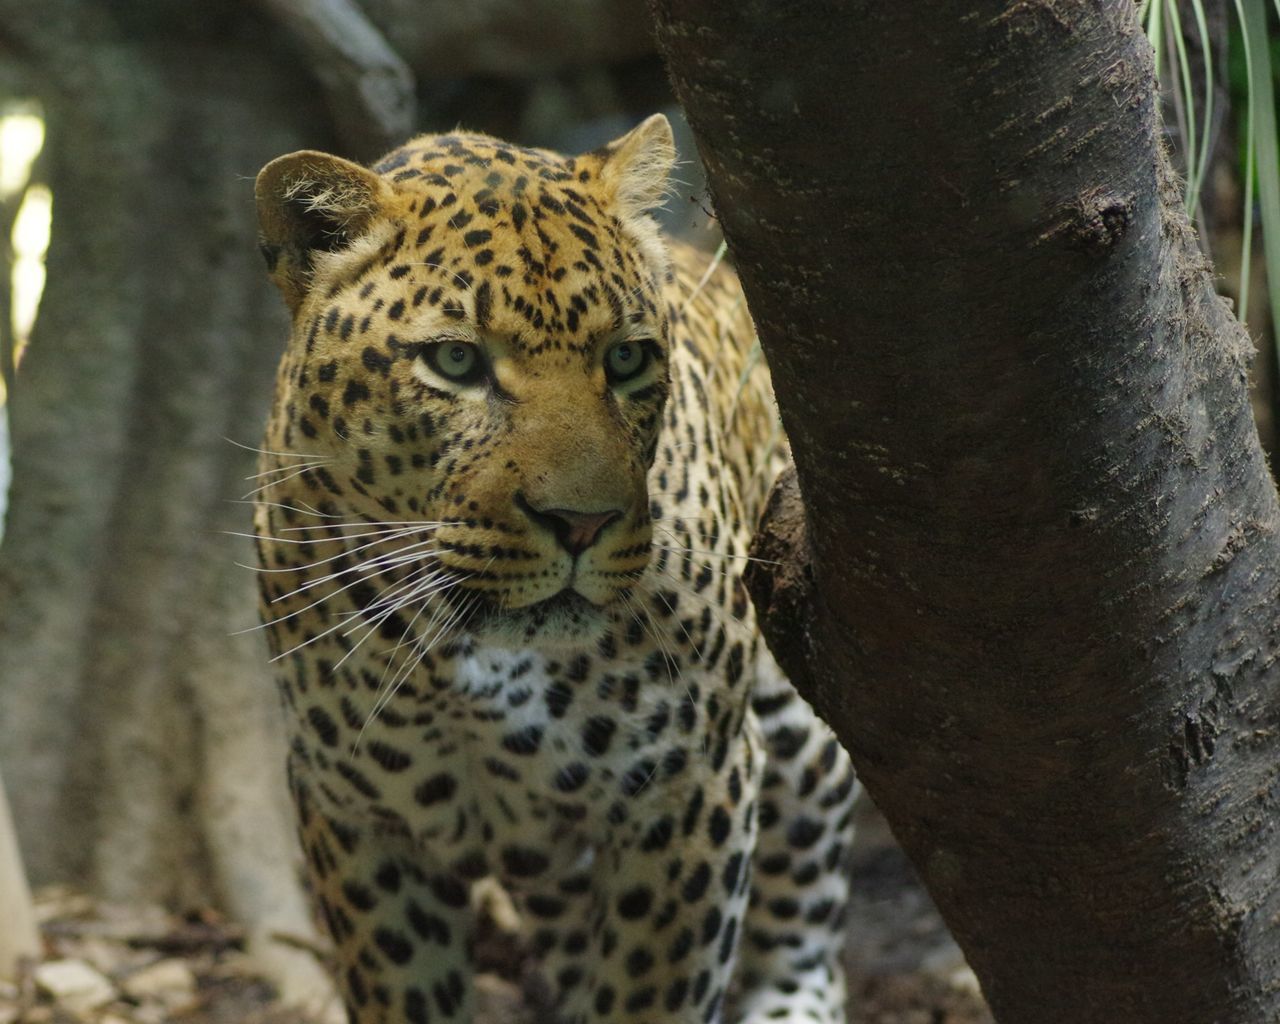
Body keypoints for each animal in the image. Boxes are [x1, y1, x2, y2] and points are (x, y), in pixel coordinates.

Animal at [252, 113, 860, 1024]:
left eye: (627, 360)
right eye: (456, 363)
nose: (583, 522)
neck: (471, 653)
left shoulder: (690, 786)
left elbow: (653, 993)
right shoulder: (356, 810)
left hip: (791, 719)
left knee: (805, 906)